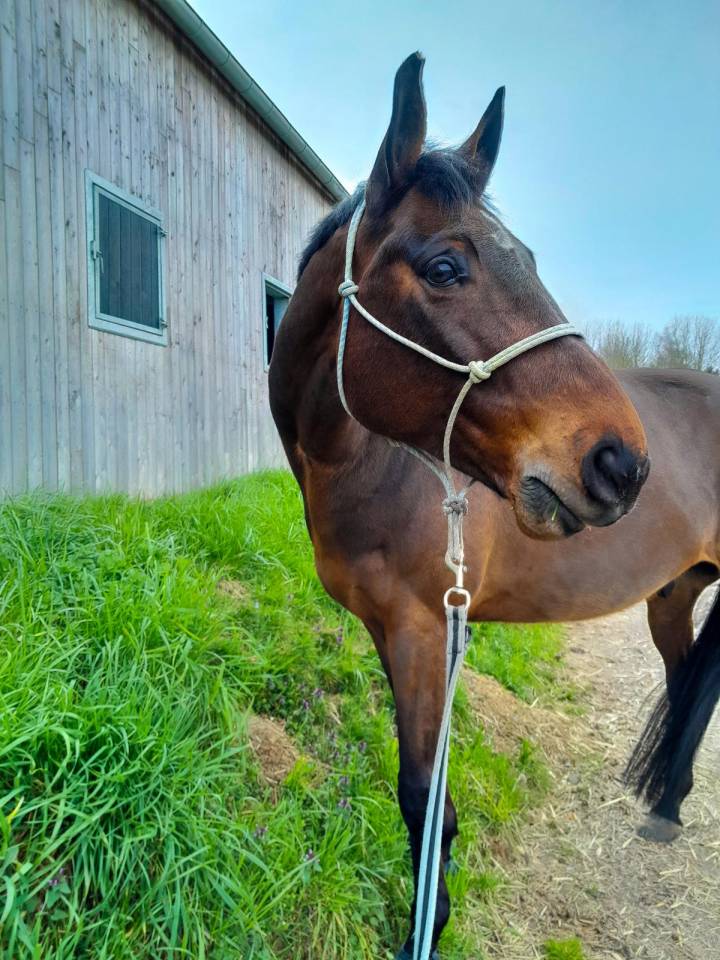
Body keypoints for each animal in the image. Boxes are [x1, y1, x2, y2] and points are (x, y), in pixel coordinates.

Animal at [269, 53, 652, 958]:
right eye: (446, 267)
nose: (620, 461)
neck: (369, 467)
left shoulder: (426, 626)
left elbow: (423, 799)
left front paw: (430, 920)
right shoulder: (402, 629)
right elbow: (426, 794)